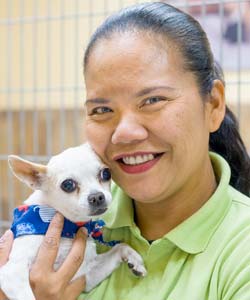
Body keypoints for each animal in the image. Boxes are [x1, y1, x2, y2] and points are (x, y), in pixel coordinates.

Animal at [0, 144, 146, 300]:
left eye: (106, 173)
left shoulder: (87, 274)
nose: (96, 197)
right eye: (68, 185)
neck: (68, 227)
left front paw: (135, 260)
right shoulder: (11, 271)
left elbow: (120, 247)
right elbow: (28, 296)